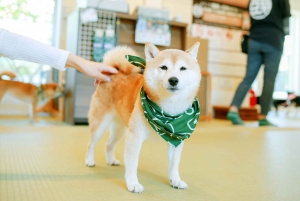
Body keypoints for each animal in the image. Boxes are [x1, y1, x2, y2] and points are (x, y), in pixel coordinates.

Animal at [85, 42, 200, 193]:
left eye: (183, 68)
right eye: (164, 67)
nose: (173, 80)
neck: (168, 111)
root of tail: (115, 72)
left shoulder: (176, 138)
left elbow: (174, 164)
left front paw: (175, 180)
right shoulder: (135, 136)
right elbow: (133, 163)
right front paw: (133, 183)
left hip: (120, 130)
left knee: (109, 144)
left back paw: (111, 160)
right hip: (101, 123)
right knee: (91, 143)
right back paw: (89, 160)